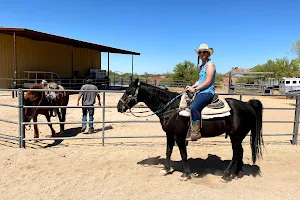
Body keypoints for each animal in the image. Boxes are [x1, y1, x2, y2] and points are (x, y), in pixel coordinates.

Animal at [117, 78, 262, 181]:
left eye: (129, 92)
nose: (119, 107)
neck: (171, 108)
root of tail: (247, 105)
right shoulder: (170, 134)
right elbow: (168, 151)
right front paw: (166, 170)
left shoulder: (180, 136)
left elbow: (183, 154)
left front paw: (186, 174)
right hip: (238, 137)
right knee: (240, 152)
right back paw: (237, 173)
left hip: (236, 136)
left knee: (236, 154)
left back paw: (226, 176)